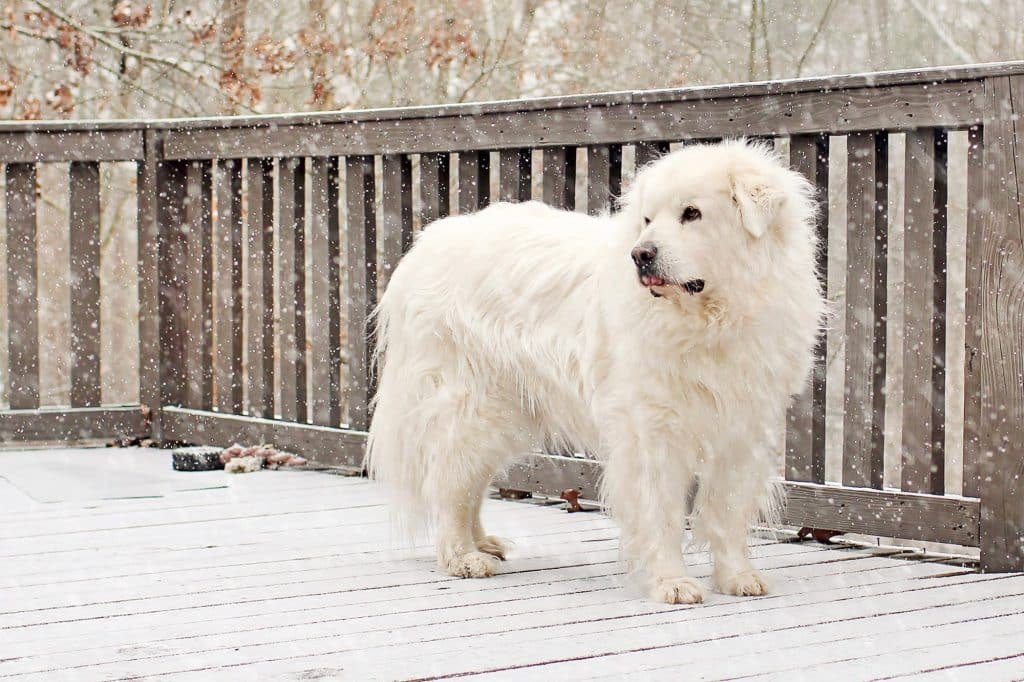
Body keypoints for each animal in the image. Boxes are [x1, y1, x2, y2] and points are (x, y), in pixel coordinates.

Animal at [368, 138, 823, 602]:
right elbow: (661, 512)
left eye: (691, 213)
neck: (711, 320)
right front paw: (671, 582)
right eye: (647, 220)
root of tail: (426, 245)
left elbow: (727, 511)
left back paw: (483, 543)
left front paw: (736, 576)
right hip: (472, 407)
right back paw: (462, 557)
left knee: (468, 482)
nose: (641, 254)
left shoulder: (743, 427)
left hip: (503, 414)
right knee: (448, 483)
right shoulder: (651, 430)